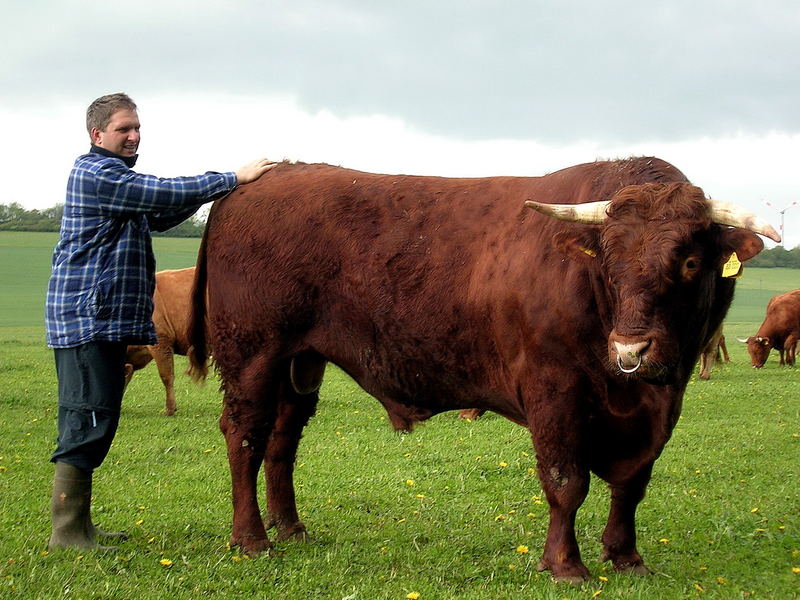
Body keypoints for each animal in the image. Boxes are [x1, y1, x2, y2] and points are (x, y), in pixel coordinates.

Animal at [186, 157, 776, 584]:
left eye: (690, 262)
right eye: (607, 262)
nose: (630, 349)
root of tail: (266, 178)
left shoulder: (663, 403)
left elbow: (632, 483)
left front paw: (627, 557)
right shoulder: (554, 391)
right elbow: (566, 481)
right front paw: (565, 565)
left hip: (299, 362)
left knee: (283, 441)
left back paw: (291, 529)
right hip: (252, 354)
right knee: (245, 436)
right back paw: (253, 539)